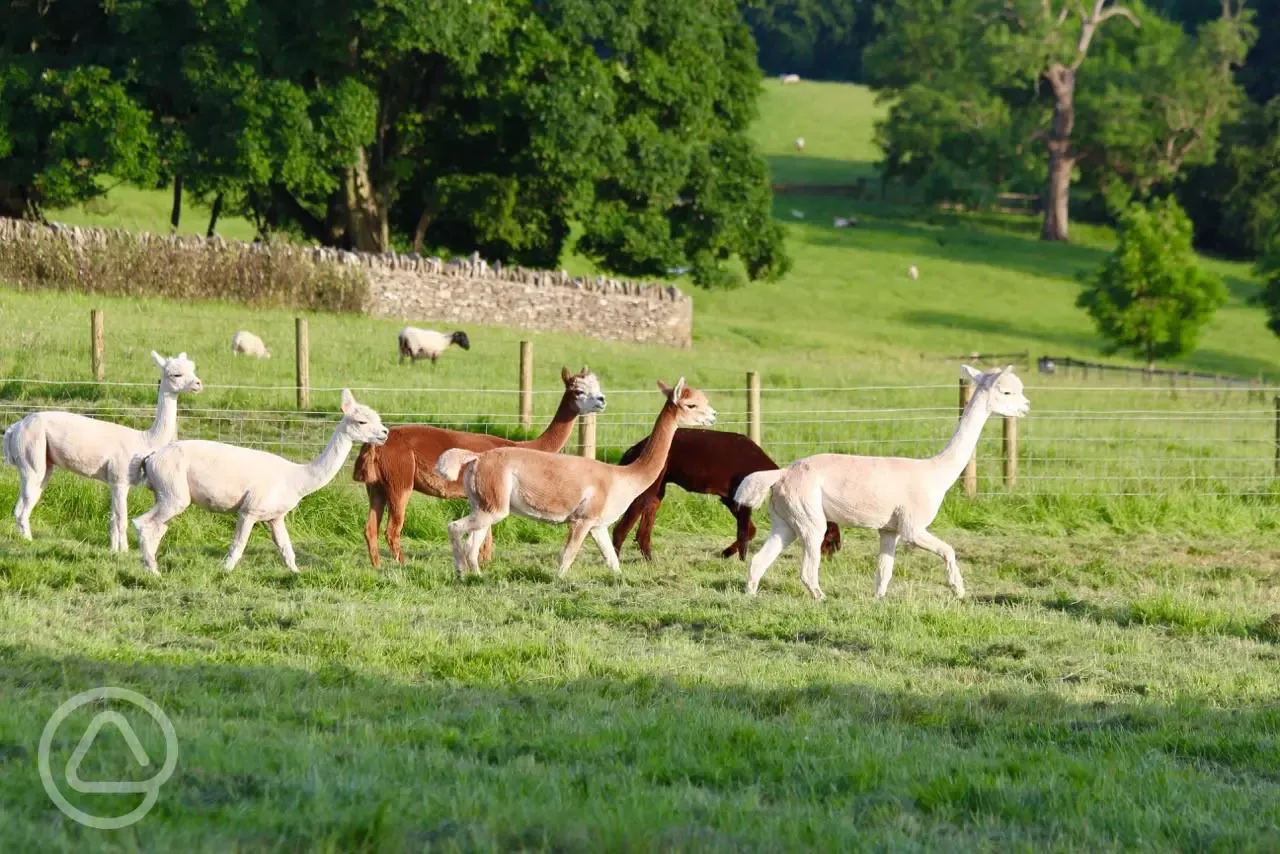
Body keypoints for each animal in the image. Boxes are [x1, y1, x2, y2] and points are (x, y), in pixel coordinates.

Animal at [3, 350, 202, 550]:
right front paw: (124, 551)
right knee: (22, 506)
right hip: (31, 455)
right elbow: (121, 520)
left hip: (45, 463)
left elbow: (113, 519)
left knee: (27, 500)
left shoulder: (115, 482)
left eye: (193, 370)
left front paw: (114, 550)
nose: (198, 384)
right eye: (176, 374)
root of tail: (15, 427)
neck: (145, 440)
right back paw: (26, 542)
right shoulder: (120, 479)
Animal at [131, 391, 389, 578]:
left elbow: (286, 549)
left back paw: (152, 568)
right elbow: (238, 545)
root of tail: (151, 458)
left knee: (158, 528)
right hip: (174, 493)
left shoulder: (275, 517)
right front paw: (224, 573)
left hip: (165, 493)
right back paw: (154, 572)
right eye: (361, 421)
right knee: (143, 523)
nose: (385, 433)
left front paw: (297, 573)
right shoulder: (250, 510)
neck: (297, 478)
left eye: (378, 418)